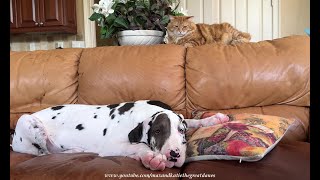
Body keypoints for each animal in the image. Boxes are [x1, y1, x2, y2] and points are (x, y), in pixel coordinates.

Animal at [11, 100, 229, 171]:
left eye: (180, 131)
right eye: (157, 131)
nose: (173, 155)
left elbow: (192, 120)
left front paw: (213, 119)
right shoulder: (112, 146)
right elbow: (138, 146)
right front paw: (151, 158)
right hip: (26, 121)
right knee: (45, 152)